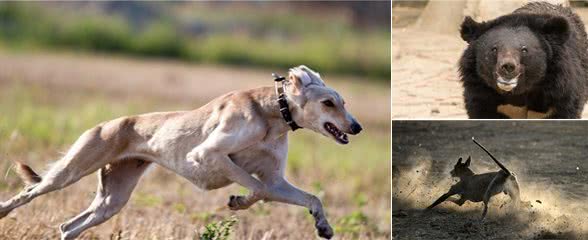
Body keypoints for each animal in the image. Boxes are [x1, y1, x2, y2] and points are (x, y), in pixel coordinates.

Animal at [0, 64, 362, 239]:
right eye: (328, 103)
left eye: (344, 102)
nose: (357, 127)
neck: (272, 114)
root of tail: (104, 124)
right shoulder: (207, 154)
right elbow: (257, 189)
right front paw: (238, 200)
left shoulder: (275, 180)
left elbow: (310, 198)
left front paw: (323, 226)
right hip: (70, 172)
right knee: (29, 192)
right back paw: (4, 211)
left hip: (111, 200)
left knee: (68, 227)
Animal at [460, 1, 588, 118]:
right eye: (494, 49)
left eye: (524, 50)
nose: (508, 67)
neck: (519, 93)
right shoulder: (482, 93)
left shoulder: (560, 91)